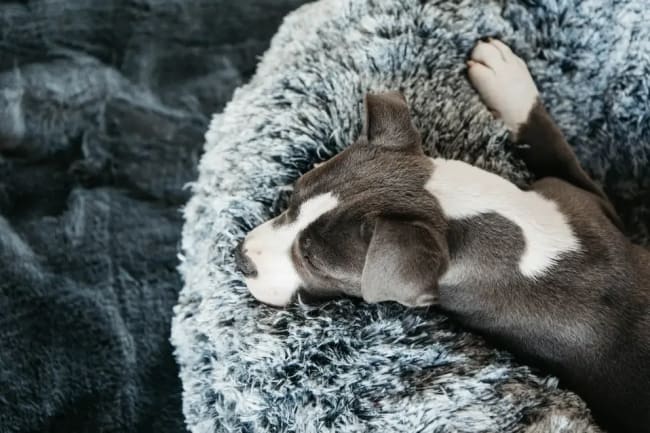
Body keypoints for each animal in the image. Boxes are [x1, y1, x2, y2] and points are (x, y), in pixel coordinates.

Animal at [234, 38, 648, 432]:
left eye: (313, 261)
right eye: (293, 197)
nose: (241, 258)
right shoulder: (589, 205)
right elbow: (551, 141)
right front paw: (507, 77)